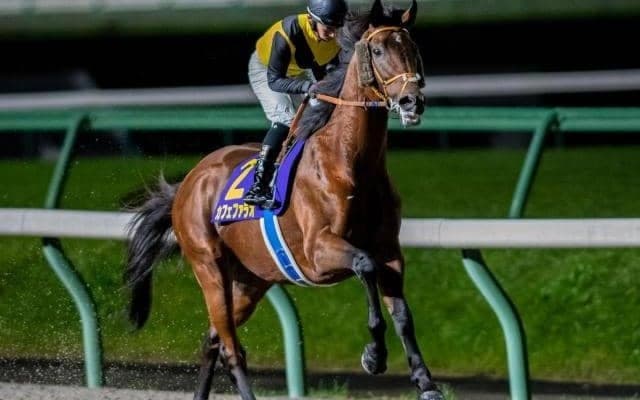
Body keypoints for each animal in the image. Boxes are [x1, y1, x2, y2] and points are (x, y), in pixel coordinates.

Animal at [124, 0, 442, 399]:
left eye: (412, 47)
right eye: (379, 50)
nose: (411, 100)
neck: (348, 161)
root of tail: (189, 183)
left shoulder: (389, 251)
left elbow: (402, 314)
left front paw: (425, 382)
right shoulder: (318, 252)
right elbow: (364, 265)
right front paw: (374, 355)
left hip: (250, 280)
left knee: (212, 339)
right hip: (209, 266)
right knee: (231, 348)